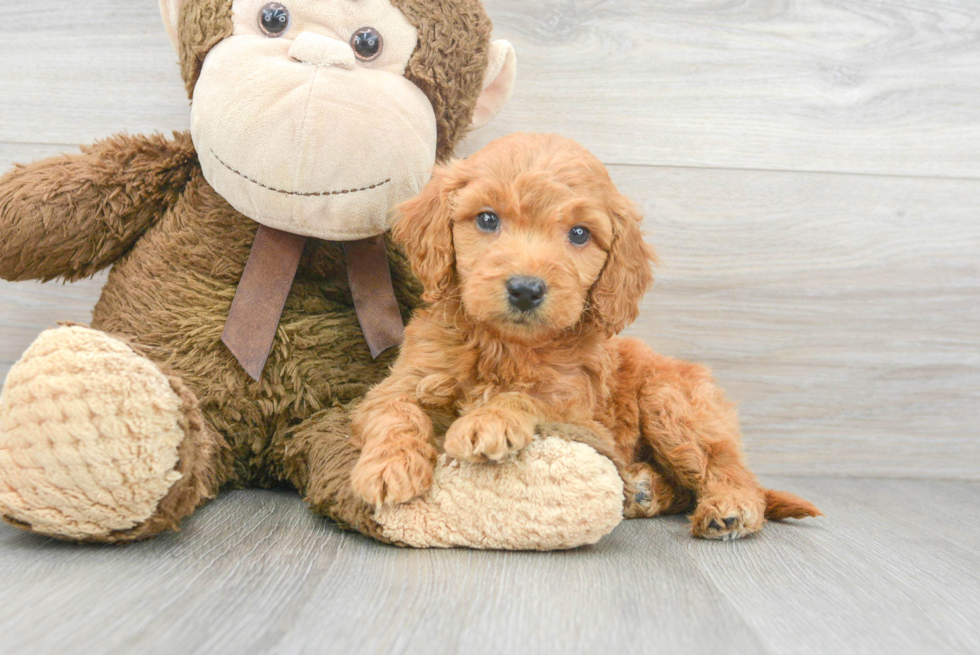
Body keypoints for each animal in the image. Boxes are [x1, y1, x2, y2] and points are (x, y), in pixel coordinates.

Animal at [350, 135, 820, 544]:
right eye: (487, 219)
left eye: (579, 234)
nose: (525, 289)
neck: (506, 345)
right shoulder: (403, 379)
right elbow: (394, 411)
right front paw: (390, 467)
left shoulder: (582, 413)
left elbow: (530, 397)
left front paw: (490, 420)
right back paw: (645, 490)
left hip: (672, 404)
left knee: (726, 468)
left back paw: (731, 507)